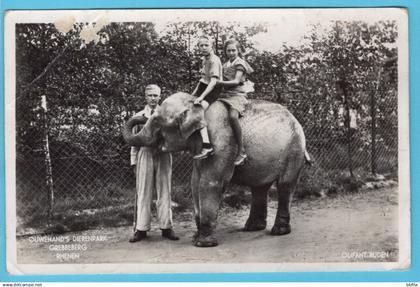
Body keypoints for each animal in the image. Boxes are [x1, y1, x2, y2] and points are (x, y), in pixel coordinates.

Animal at [123, 92, 306, 248]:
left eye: (157, 123)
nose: (142, 115)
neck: (196, 105)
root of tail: (295, 119)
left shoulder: (221, 143)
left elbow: (209, 183)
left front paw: (203, 244)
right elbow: (194, 183)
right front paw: (196, 238)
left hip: (294, 149)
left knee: (285, 185)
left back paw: (279, 231)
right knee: (259, 187)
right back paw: (253, 228)